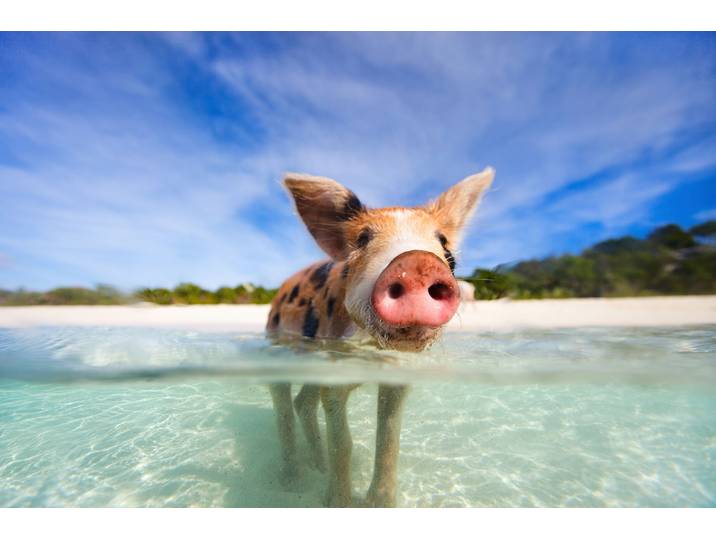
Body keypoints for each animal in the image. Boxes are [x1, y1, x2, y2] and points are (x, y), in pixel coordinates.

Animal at [266, 167, 494, 507]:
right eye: (362, 239)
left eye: (444, 244)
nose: (417, 262)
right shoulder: (334, 372)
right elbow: (343, 443)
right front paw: (338, 503)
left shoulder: (397, 377)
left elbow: (388, 440)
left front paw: (380, 503)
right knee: (283, 406)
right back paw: (292, 483)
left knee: (303, 403)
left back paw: (317, 466)